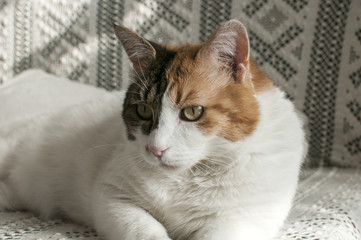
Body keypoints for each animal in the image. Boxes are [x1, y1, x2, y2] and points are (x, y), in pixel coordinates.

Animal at [0, 19, 304, 239]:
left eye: (192, 112)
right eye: (144, 110)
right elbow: (145, 230)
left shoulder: (244, 220)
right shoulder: (113, 197)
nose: (156, 149)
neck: (188, 177)